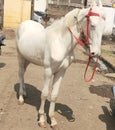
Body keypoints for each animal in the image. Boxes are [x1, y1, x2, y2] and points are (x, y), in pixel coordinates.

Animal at [15, 0, 105, 129]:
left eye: (104, 27)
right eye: (92, 25)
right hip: (20, 57)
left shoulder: (61, 72)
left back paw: (25, 93)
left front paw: (52, 120)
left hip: (28, 58)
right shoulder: (48, 71)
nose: (95, 53)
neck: (60, 42)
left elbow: (54, 95)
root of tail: (24, 23)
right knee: (21, 74)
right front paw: (41, 119)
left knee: (23, 75)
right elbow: (44, 94)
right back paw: (21, 98)